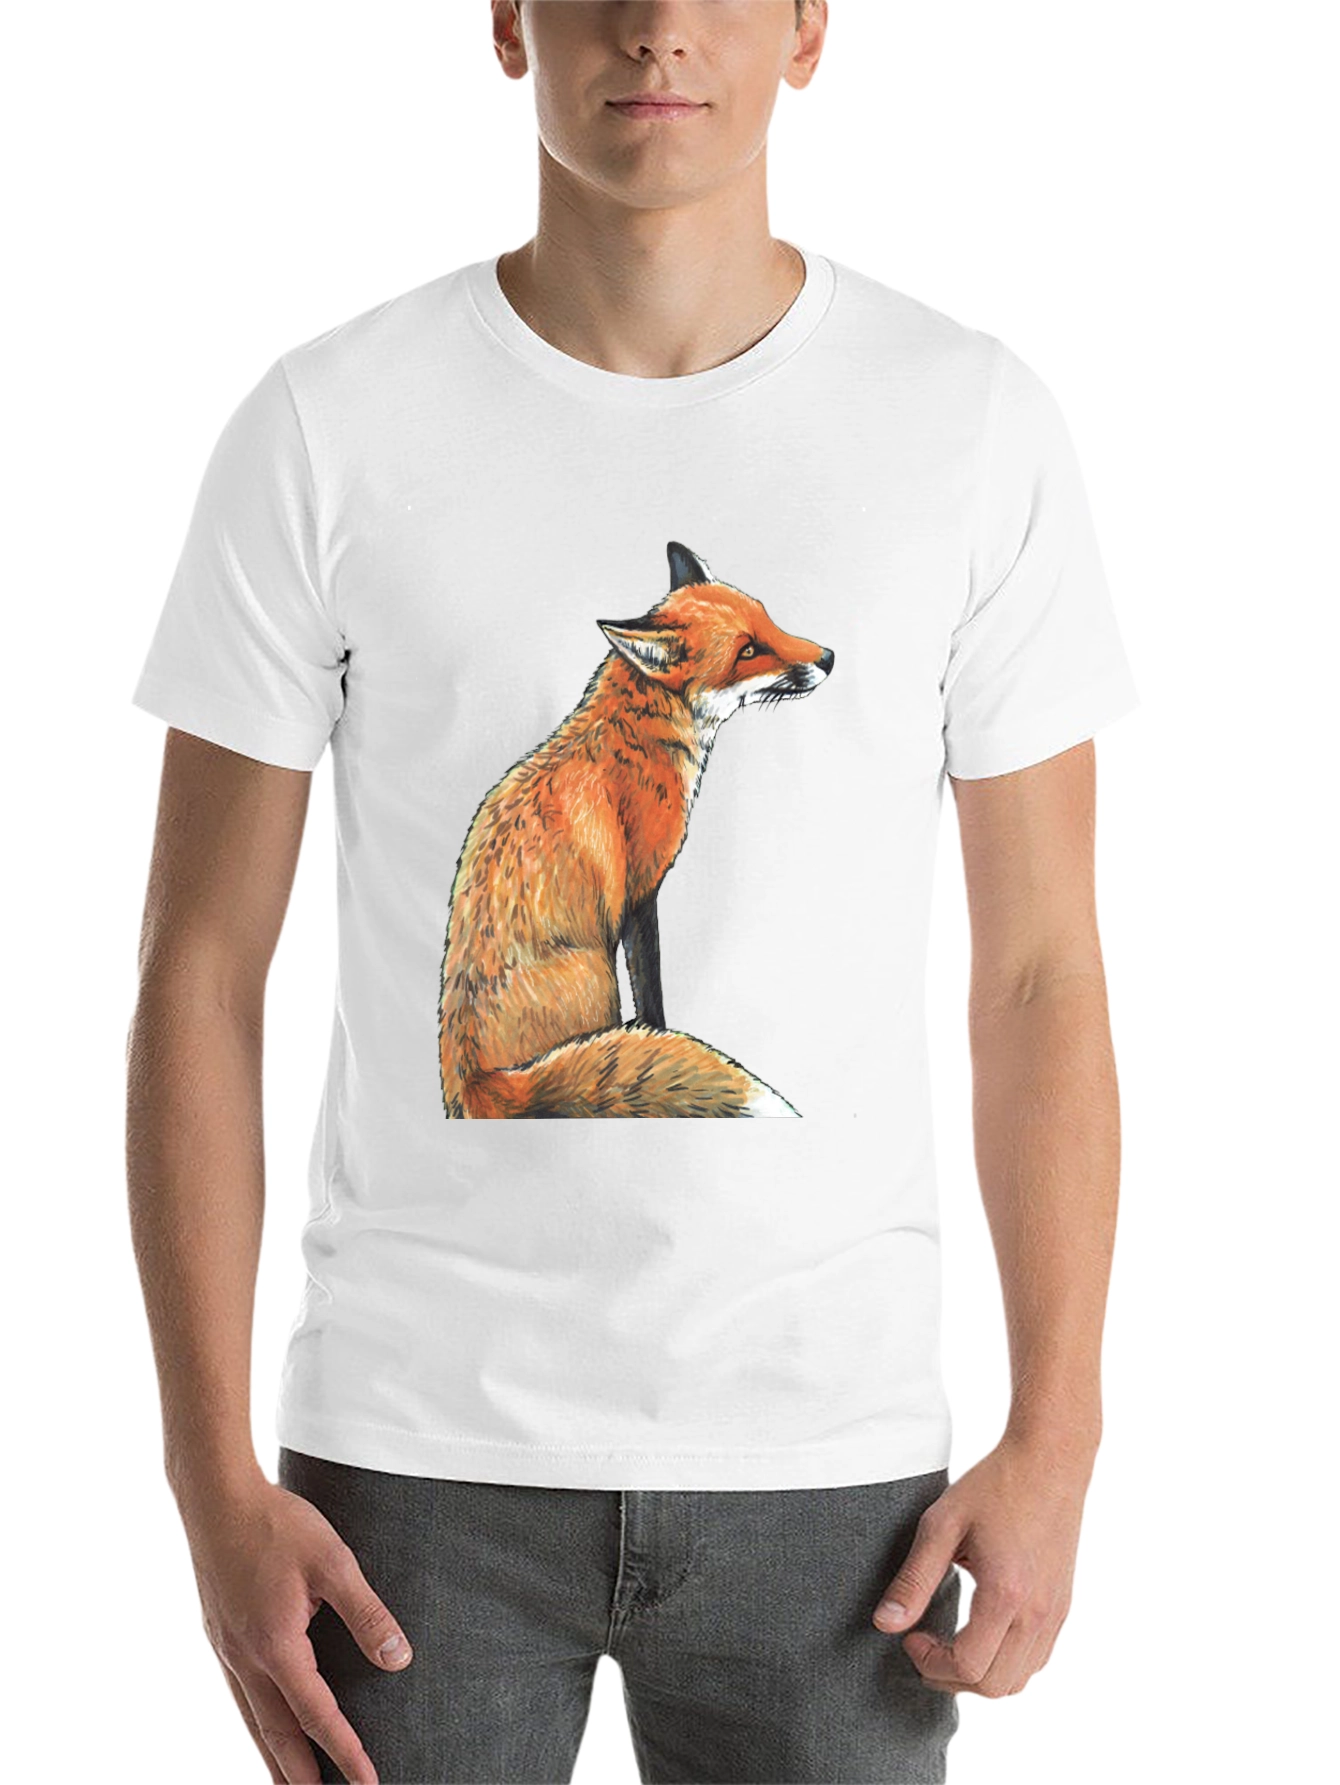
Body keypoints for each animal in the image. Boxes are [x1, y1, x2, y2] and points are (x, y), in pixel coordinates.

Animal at [437, 540, 834, 1119]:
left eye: (769, 620)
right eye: (748, 651)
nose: (827, 657)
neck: (638, 735)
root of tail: (472, 1081)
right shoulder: (641, 892)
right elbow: (652, 999)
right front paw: (662, 1036)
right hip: (597, 975)